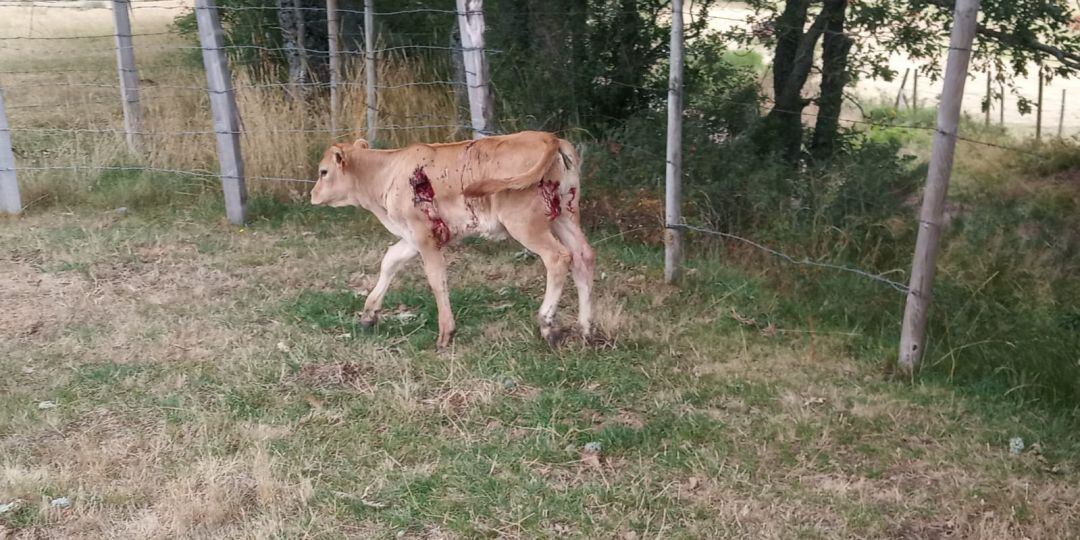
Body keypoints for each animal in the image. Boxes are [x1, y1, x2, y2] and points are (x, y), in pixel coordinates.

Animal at [308, 129, 596, 349]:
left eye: (323, 172)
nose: (312, 195)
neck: (385, 173)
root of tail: (549, 137)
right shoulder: (411, 237)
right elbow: (389, 261)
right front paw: (369, 315)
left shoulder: (424, 235)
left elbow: (437, 279)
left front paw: (446, 333)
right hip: (565, 215)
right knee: (583, 256)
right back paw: (586, 329)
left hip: (525, 222)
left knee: (558, 258)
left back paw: (548, 326)